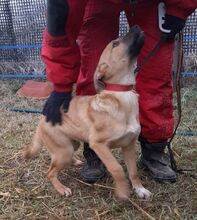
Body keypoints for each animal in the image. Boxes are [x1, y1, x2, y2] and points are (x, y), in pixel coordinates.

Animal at [23, 24, 152, 200]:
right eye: (115, 43)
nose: (137, 26)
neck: (121, 96)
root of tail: (43, 119)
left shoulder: (129, 145)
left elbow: (133, 171)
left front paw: (140, 189)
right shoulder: (98, 144)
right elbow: (117, 168)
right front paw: (122, 191)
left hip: (72, 144)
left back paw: (75, 162)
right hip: (64, 150)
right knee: (50, 172)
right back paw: (61, 188)